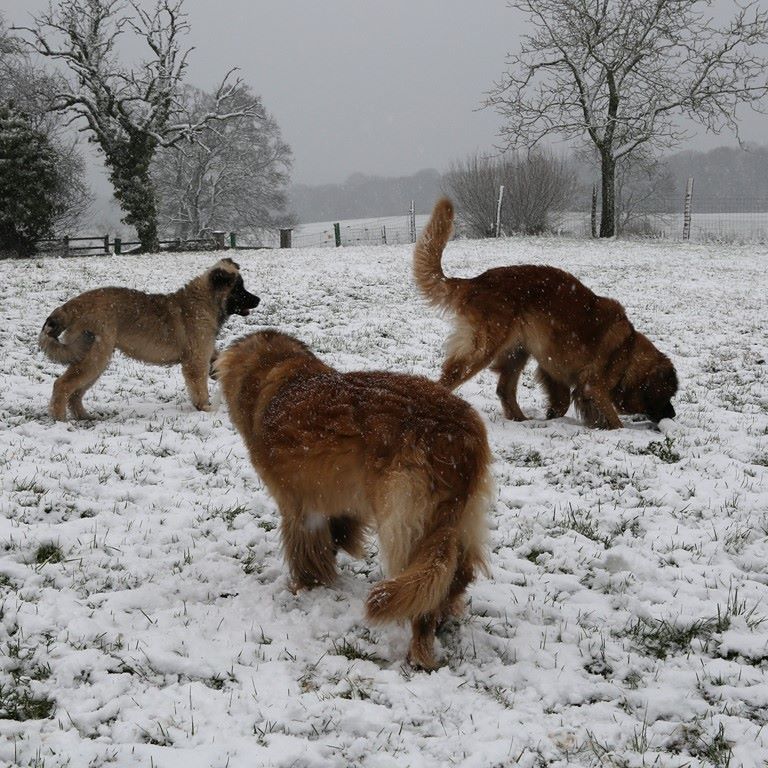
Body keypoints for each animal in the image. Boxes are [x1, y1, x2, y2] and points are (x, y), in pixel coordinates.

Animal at [39, 258, 260, 420]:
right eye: (238, 288)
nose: (258, 299)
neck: (205, 302)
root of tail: (72, 305)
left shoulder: (206, 352)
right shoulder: (196, 361)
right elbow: (200, 388)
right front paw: (205, 409)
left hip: (95, 360)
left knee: (75, 392)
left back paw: (84, 416)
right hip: (94, 358)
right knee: (62, 385)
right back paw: (60, 419)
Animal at [216, 332, 492, 668]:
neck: (281, 373)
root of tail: (460, 439)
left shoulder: (300, 506)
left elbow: (305, 549)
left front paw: (306, 585)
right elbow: (338, 529)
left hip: (404, 519)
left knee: (426, 593)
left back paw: (419, 649)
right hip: (461, 517)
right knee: (458, 574)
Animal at [414, 198, 680, 428]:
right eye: (666, 395)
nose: (673, 415)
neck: (627, 350)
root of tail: (477, 282)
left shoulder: (554, 368)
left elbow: (562, 402)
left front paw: (553, 418)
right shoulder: (593, 385)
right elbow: (612, 418)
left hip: (517, 351)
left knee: (505, 389)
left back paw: (521, 420)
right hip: (483, 348)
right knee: (450, 377)